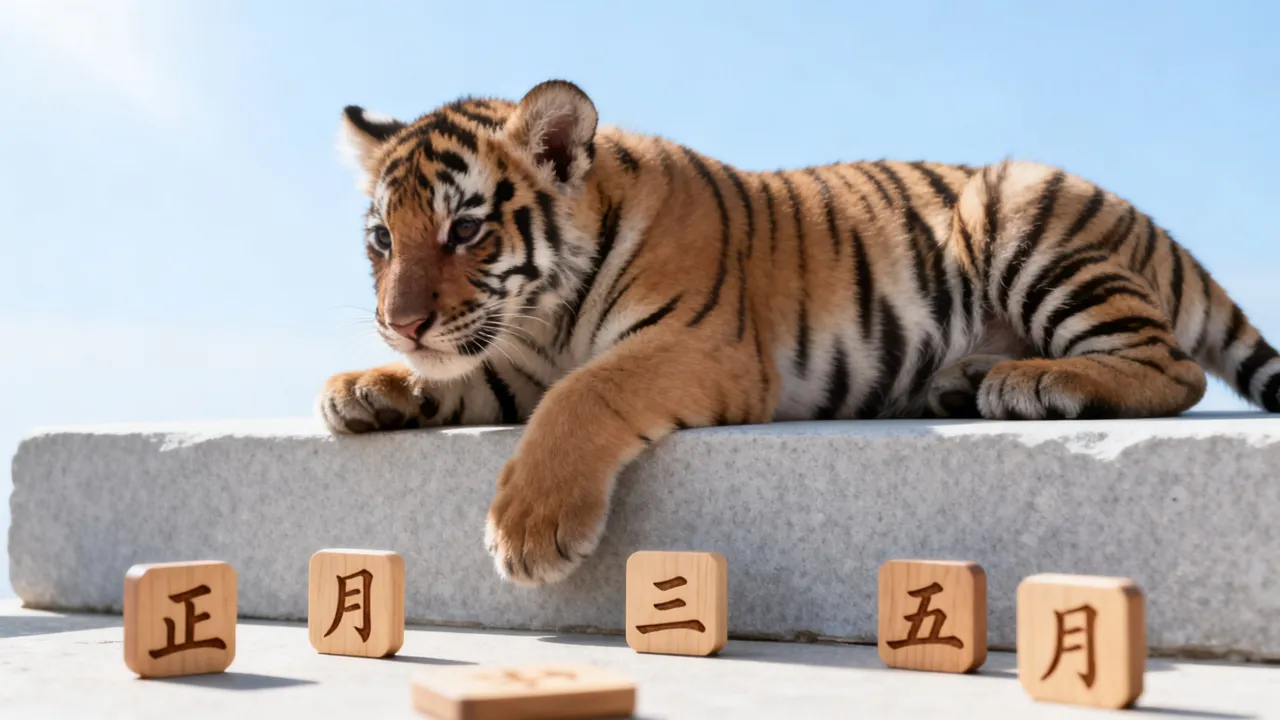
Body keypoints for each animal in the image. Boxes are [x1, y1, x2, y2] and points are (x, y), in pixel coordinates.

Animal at [318, 79, 1280, 588]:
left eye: (465, 230)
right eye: (383, 239)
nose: (399, 323)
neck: (545, 314)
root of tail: (1153, 227)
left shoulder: (698, 347)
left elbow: (585, 394)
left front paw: (528, 529)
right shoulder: (515, 356)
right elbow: (465, 375)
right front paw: (364, 388)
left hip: (1016, 211)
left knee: (1176, 368)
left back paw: (1040, 382)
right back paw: (964, 380)